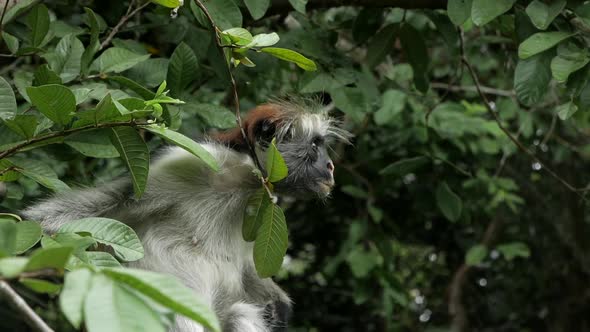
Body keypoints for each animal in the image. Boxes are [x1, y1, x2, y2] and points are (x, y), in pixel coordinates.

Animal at [24, 99, 352, 332]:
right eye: (315, 146)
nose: (331, 166)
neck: (243, 182)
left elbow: (249, 270)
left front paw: (279, 306)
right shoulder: (189, 162)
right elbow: (70, 215)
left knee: (240, 313)